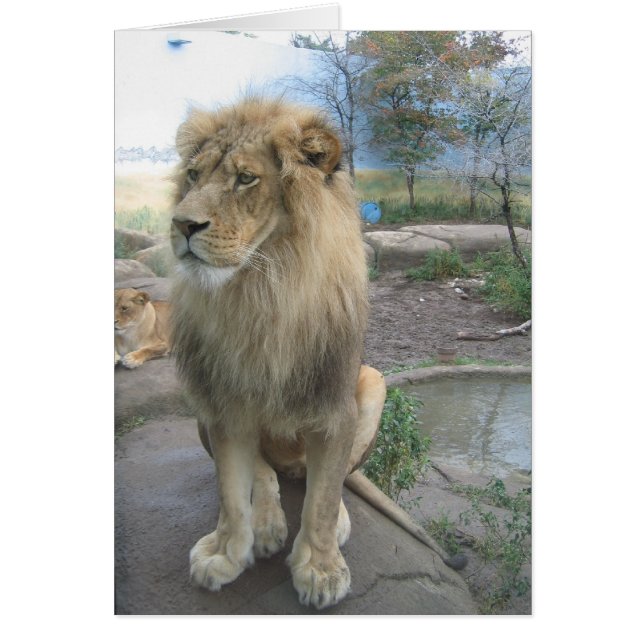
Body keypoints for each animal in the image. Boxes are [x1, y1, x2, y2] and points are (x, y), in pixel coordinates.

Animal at [169, 98, 388, 609]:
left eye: (246, 178)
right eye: (193, 175)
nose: (181, 224)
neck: (260, 291)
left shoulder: (333, 407)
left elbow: (322, 499)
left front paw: (321, 570)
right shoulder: (222, 404)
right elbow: (231, 492)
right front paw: (226, 552)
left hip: (373, 380)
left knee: (323, 478)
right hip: (199, 413)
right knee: (266, 472)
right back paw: (267, 523)